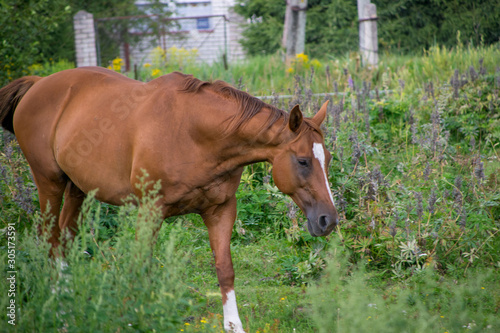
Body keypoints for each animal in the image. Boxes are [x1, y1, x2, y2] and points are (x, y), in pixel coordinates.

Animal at [0, 66, 338, 330]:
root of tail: (38, 83)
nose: (328, 220)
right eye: (303, 161)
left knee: (65, 240)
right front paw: (135, 319)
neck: (194, 133)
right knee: (50, 238)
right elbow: (141, 266)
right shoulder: (150, 211)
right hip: (50, 183)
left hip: (78, 189)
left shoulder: (220, 210)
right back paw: (58, 309)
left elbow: (225, 268)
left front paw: (234, 325)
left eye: (329, 158)